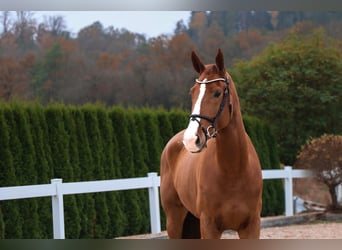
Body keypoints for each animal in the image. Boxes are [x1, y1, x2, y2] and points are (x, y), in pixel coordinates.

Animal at [160, 48, 262, 238]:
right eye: (192, 92)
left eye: (217, 93)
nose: (191, 139)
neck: (234, 171)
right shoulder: (209, 225)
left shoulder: (251, 226)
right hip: (174, 221)